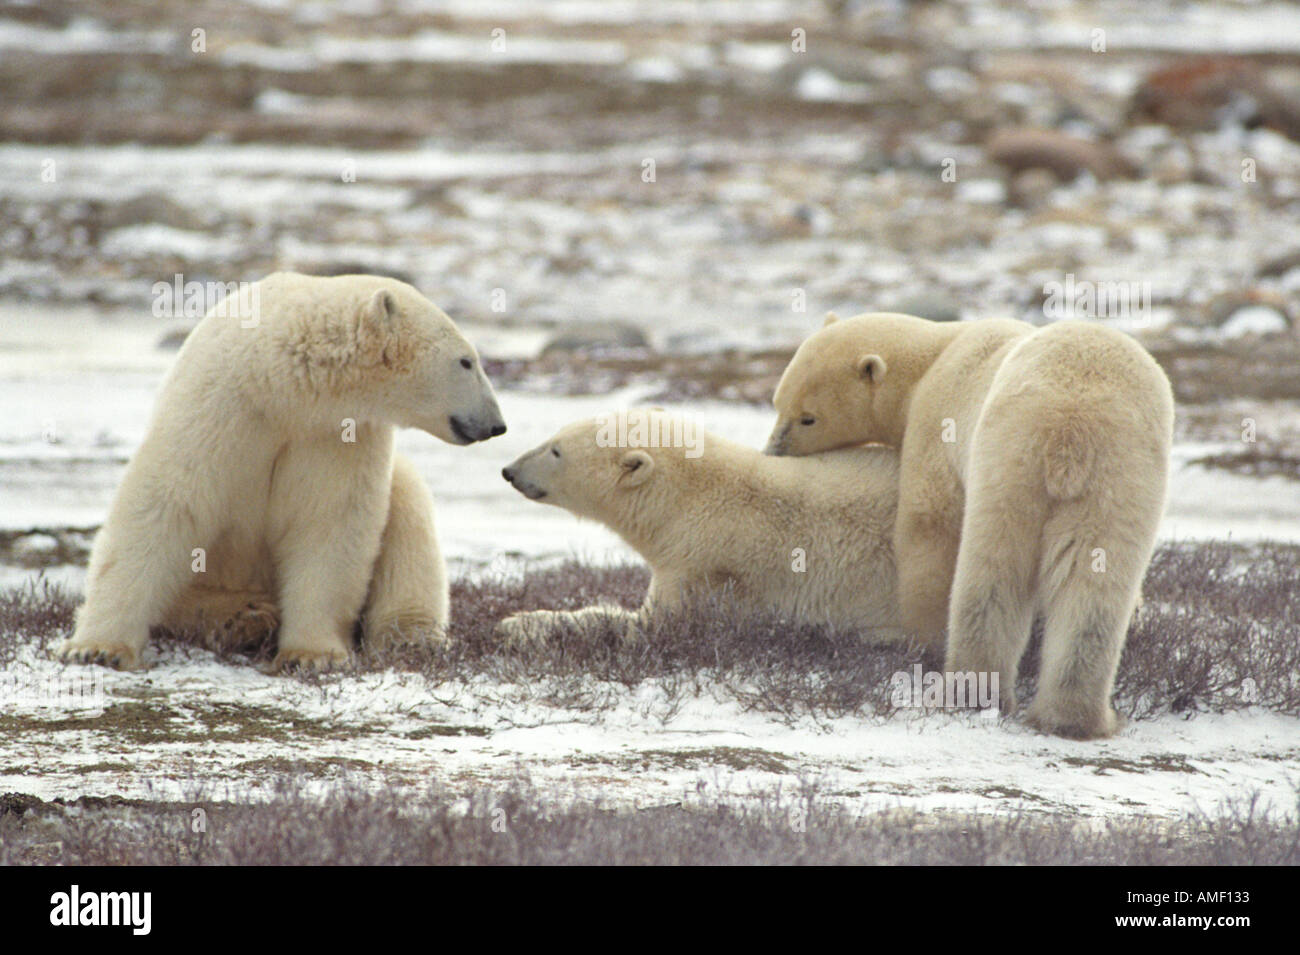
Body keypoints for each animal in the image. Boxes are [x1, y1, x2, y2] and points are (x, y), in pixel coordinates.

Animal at [57, 272, 506, 671]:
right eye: (466, 361)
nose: (497, 424)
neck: (282, 387)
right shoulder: (220, 404)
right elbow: (167, 503)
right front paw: (96, 648)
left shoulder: (336, 434)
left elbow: (329, 524)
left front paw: (311, 655)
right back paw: (246, 617)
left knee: (409, 514)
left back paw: (410, 637)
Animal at [495, 408, 902, 643]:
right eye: (553, 437)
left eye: (557, 450)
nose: (510, 471)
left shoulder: (701, 566)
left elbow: (645, 626)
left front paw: (520, 624)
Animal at [766, 312, 1173, 739]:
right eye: (778, 402)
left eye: (808, 417)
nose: (773, 451)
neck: (933, 356)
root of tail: (1074, 426)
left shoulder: (936, 421)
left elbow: (929, 525)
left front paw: (922, 638)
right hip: (1122, 479)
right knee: (1098, 585)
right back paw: (1076, 717)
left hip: (1009, 454)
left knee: (991, 570)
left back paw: (968, 692)